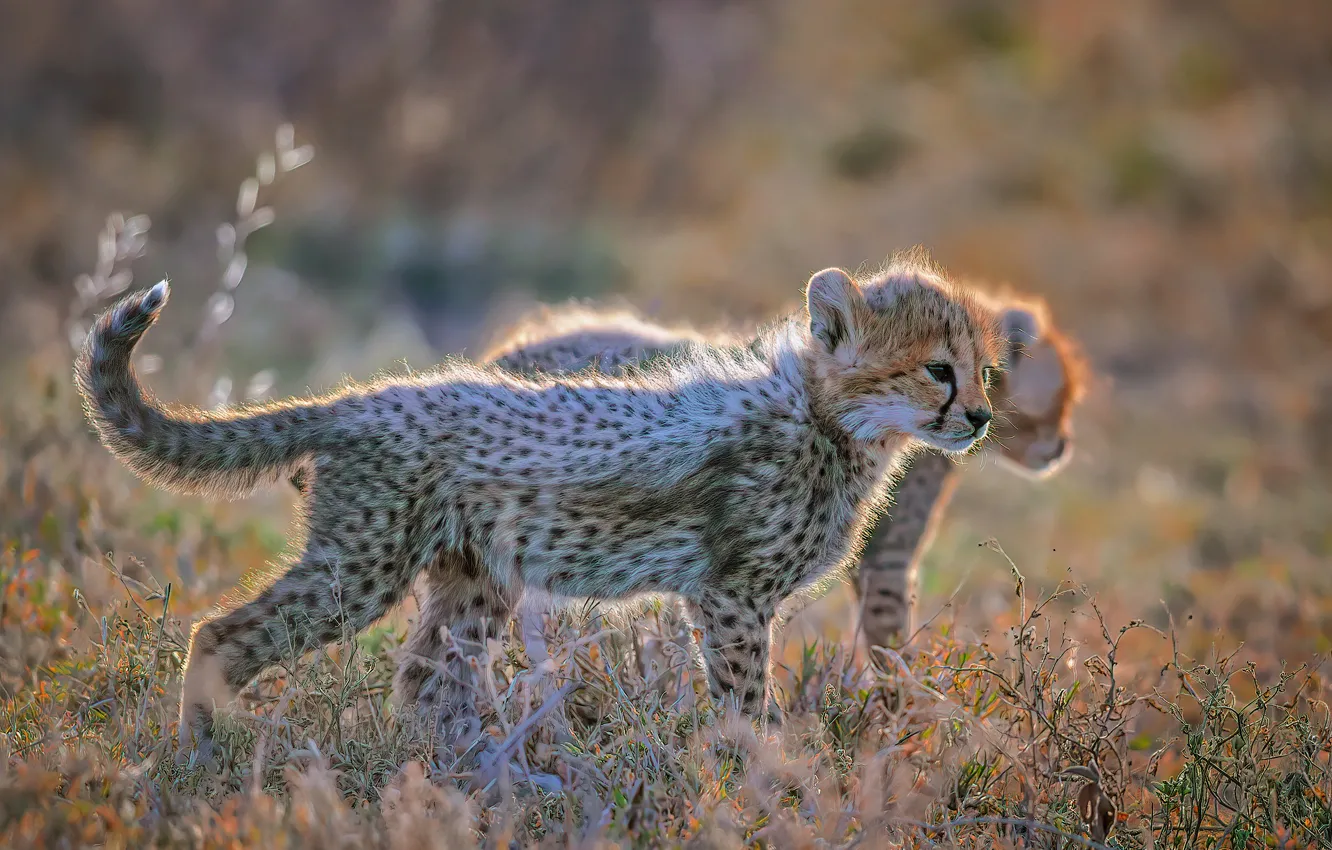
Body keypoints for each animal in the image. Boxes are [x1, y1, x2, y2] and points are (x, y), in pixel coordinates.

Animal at [74, 258, 1004, 760]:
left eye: (983, 370)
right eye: (937, 369)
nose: (982, 417)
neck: (828, 419)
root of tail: (364, 399)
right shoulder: (731, 595)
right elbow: (746, 702)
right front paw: (766, 778)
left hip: (473, 580)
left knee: (424, 680)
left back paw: (468, 775)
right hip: (359, 568)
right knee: (220, 635)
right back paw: (201, 760)